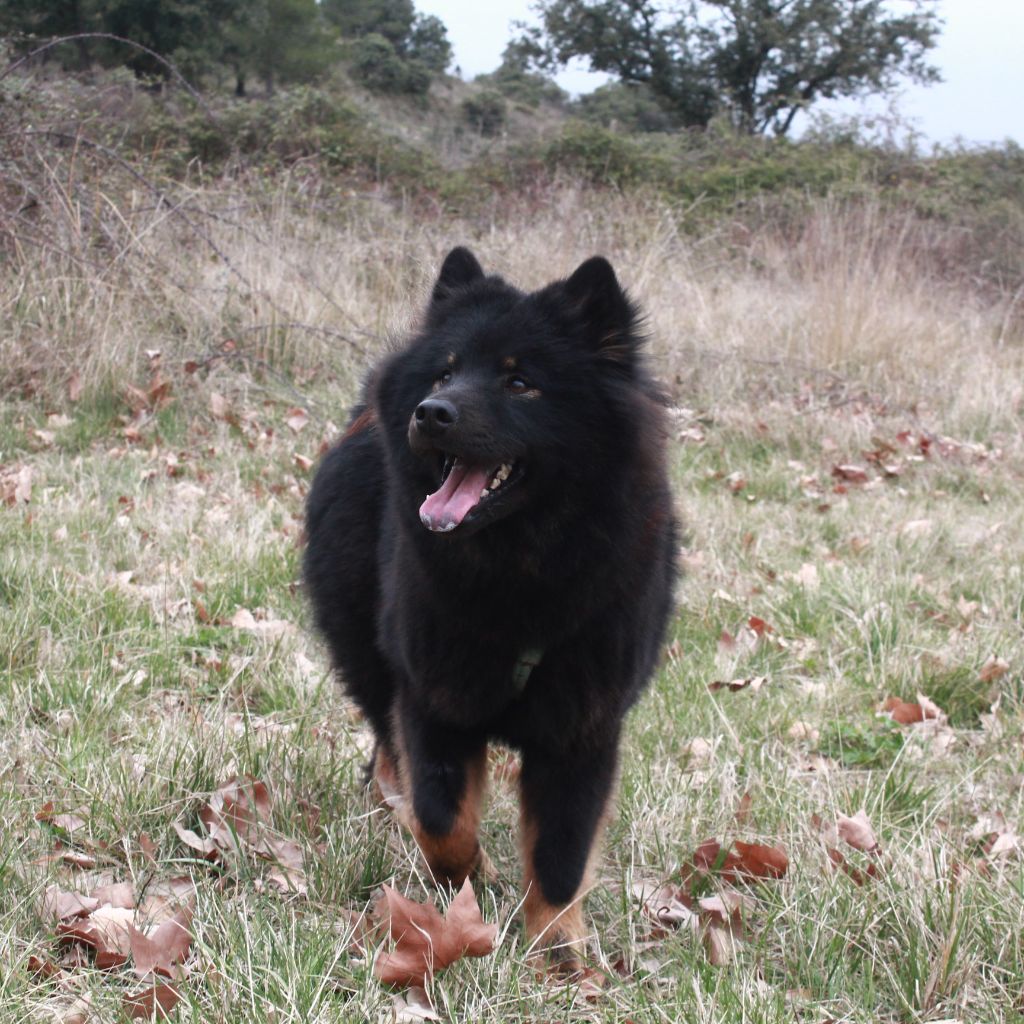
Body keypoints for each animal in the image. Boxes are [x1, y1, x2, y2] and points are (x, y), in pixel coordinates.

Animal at [303, 245, 675, 958]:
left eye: (520, 382)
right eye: (447, 371)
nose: (431, 411)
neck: (519, 577)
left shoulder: (582, 729)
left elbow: (561, 855)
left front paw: (559, 951)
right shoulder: (434, 697)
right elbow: (442, 819)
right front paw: (470, 882)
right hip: (368, 649)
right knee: (388, 748)